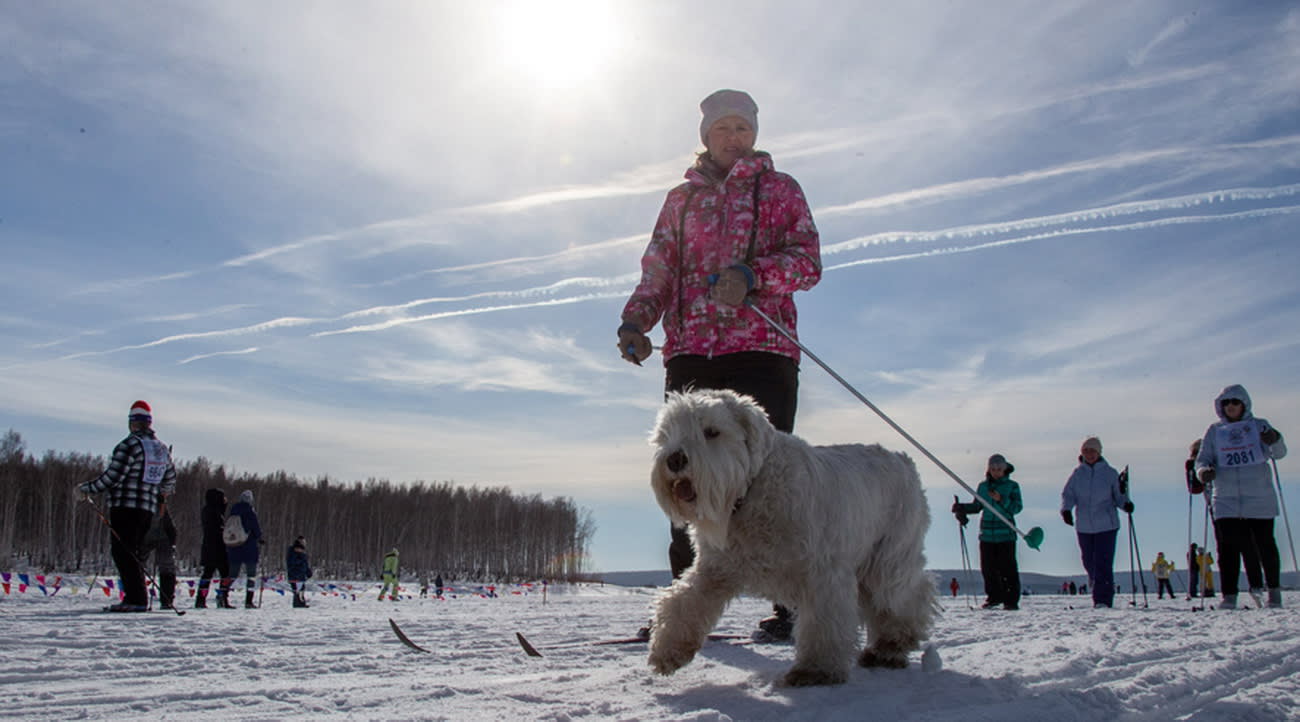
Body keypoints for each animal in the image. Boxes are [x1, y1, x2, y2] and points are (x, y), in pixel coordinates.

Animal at [647, 388, 936, 686]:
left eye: (711, 431)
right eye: (668, 432)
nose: (675, 459)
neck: (751, 490)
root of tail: (904, 461)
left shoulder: (822, 575)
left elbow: (823, 624)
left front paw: (816, 669)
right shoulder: (715, 569)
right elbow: (684, 602)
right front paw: (667, 651)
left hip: (889, 559)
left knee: (908, 597)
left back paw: (892, 646)